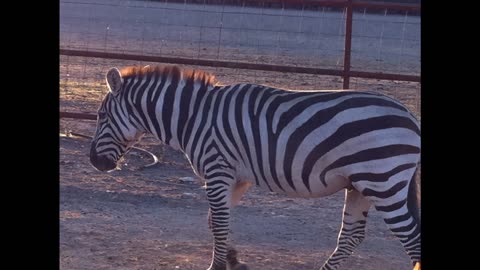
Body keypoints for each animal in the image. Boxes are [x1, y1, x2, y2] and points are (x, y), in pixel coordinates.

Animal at [89, 65, 420, 270]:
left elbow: (219, 223)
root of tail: (409, 116)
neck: (194, 117)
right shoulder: (236, 178)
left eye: (101, 115)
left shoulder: (217, 170)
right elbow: (214, 221)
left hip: (383, 181)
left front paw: (218, 265)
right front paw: (234, 259)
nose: (94, 161)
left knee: (411, 237)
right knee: (351, 236)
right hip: (360, 185)